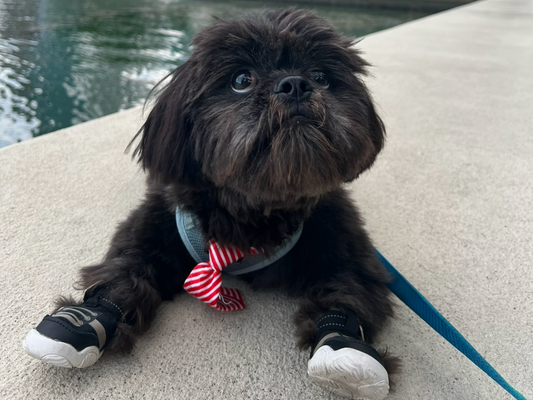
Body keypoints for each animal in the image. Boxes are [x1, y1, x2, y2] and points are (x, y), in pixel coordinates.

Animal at [25, 9, 400, 400]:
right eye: (241, 80)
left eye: (321, 77)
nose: (295, 84)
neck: (254, 210)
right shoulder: (155, 224)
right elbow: (124, 269)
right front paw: (85, 320)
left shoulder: (341, 241)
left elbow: (349, 288)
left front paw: (345, 346)